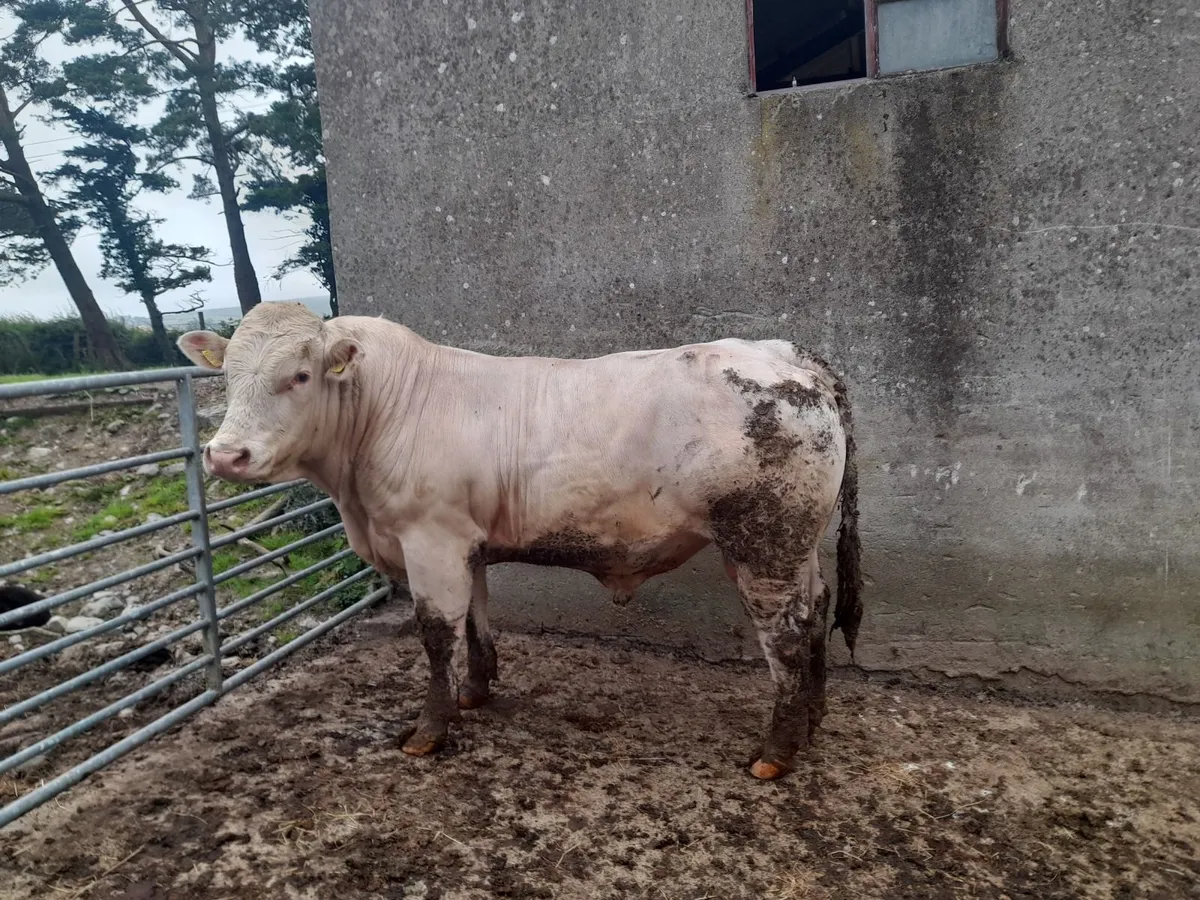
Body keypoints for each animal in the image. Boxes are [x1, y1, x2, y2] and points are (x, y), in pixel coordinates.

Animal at [179, 302, 862, 780]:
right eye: (227, 376)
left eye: (299, 375)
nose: (226, 455)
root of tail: (782, 353)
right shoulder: (464, 542)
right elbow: (475, 621)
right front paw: (476, 693)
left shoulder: (429, 539)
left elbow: (436, 634)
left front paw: (429, 730)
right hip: (799, 546)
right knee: (818, 609)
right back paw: (813, 722)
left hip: (762, 544)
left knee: (788, 636)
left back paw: (775, 752)